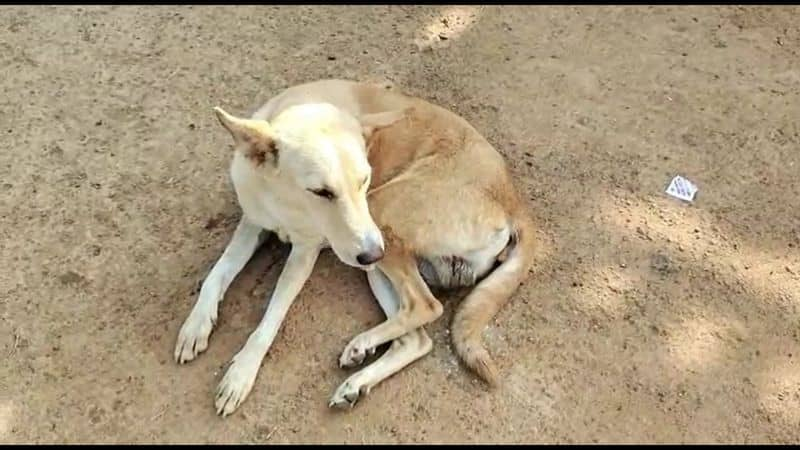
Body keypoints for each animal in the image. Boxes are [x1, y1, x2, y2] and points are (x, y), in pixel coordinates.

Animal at [172, 79, 536, 416]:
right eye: (321, 191)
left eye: (364, 179)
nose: (374, 252)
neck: (285, 203)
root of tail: (515, 202)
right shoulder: (252, 223)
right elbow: (216, 275)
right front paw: (196, 325)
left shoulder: (305, 253)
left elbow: (270, 319)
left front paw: (241, 373)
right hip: (374, 262)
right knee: (417, 337)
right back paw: (357, 380)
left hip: (379, 217)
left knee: (427, 306)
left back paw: (361, 345)